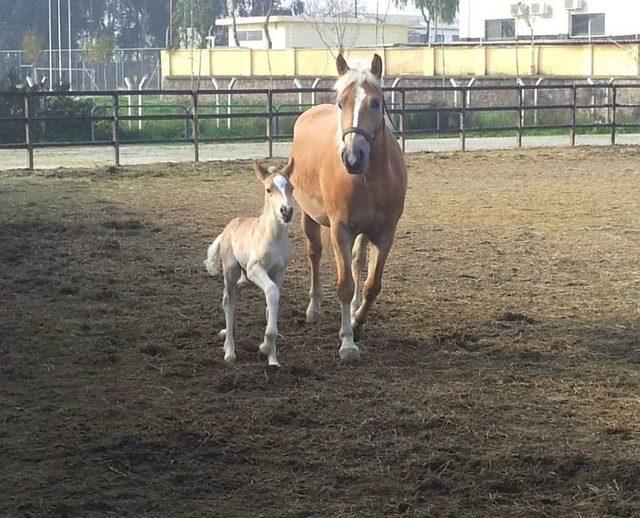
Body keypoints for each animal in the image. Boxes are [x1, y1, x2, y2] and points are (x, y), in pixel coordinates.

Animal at [205, 160, 296, 368]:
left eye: (291, 188)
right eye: (268, 189)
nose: (286, 211)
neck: (273, 237)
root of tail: (228, 228)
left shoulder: (279, 272)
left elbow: (272, 303)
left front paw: (273, 359)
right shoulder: (255, 269)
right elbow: (271, 292)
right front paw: (264, 347)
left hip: (243, 277)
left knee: (233, 298)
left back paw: (227, 336)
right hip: (231, 271)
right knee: (228, 301)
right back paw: (229, 351)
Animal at [288, 52, 404, 362]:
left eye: (375, 102)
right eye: (342, 102)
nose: (353, 157)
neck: (369, 178)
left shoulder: (385, 233)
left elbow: (371, 285)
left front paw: (357, 323)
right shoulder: (340, 230)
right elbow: (344, 286)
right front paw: (347, 342)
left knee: (356, 261)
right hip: (309, 217)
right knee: (314, 254)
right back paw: (314, 309)